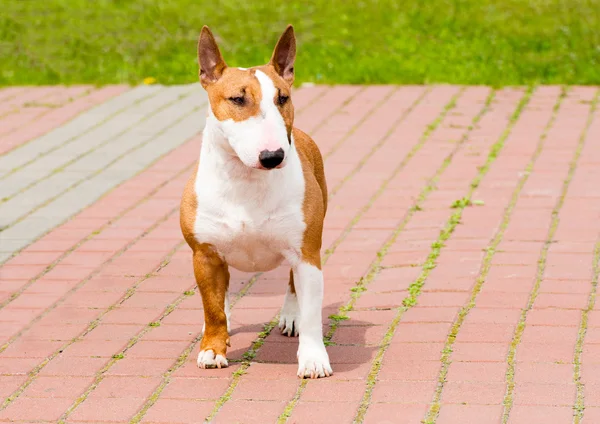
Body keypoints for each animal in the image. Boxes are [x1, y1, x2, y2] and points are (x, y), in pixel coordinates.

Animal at [179, 25, 332, 378]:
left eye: (283, 98)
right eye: (237, 99)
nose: (273, 156)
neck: (245, 180)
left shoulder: (307, 253)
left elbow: (311, 313)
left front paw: (314, 359)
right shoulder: (204, 255)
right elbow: (212, 309)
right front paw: (212, 349)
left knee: (291, 283)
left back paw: (291, 316)